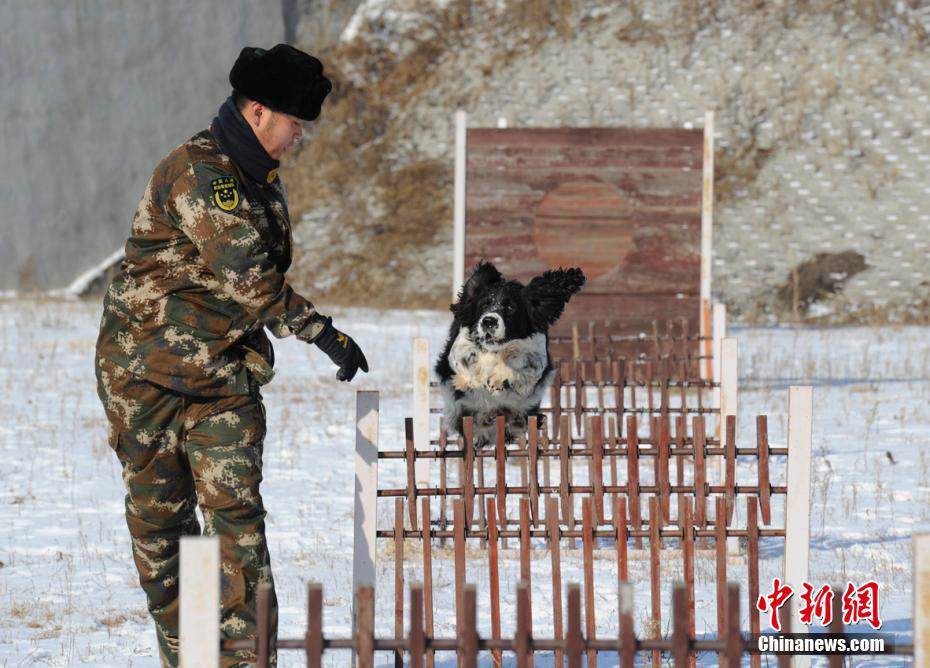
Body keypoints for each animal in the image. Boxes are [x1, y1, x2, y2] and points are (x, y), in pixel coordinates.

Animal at [434, 264, 580, 446]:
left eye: (510, 307)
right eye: (484, 304)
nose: (488, 321)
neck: (497, 351)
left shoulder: (536, 359)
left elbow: (523, 368)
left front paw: (499, 378)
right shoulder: (459, 351)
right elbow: (466, 364)